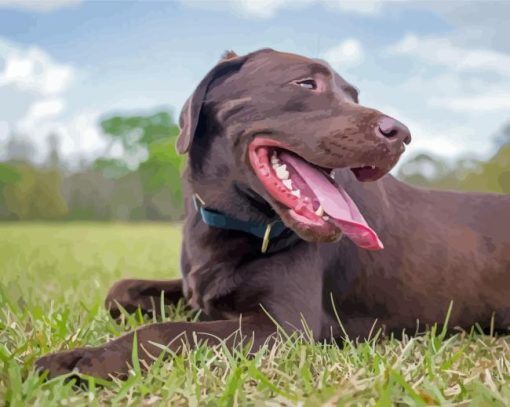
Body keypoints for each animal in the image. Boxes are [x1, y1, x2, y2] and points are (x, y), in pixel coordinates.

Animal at [36, 49, 510, 380]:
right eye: (305, 83)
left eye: (354, 96)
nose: (402, 134)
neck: (235, 223)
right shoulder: (198, 290)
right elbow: (121, 289)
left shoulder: (283, 327)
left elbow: (168, 331)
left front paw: (83, 360)